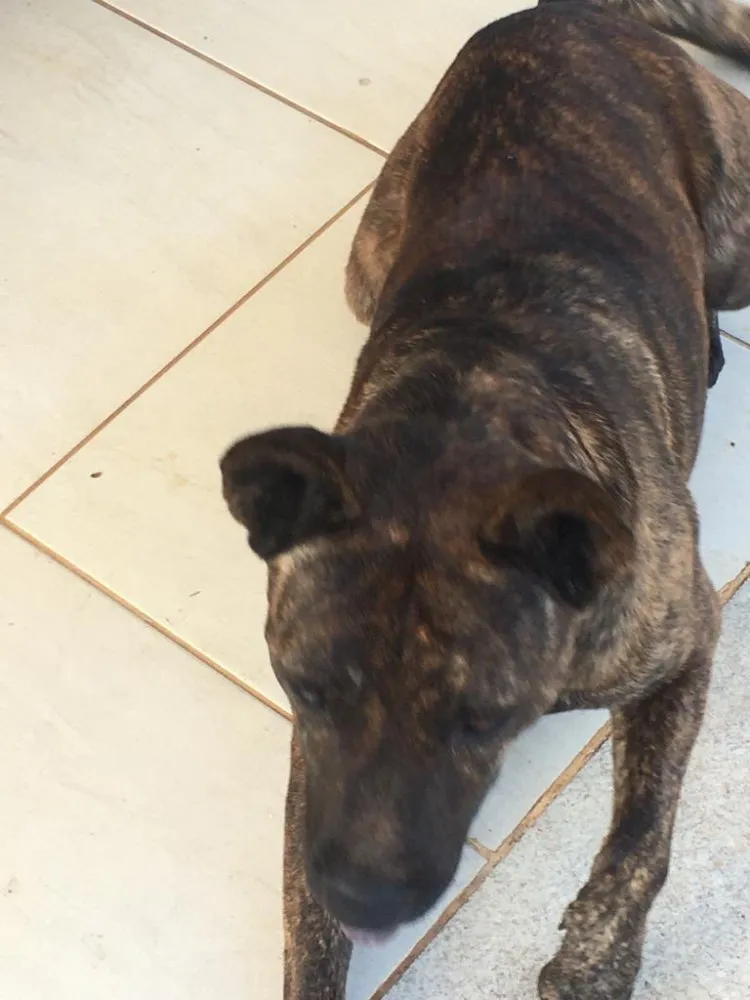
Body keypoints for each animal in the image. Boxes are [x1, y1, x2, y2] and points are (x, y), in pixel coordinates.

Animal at [220, 1, 750, 996]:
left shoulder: (687, 640)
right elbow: (306, 929)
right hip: (365, 260)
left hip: (742, 239)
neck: (457, 411)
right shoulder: (311, 765)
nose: (370, 902)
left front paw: (595, 959)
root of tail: (567, 10)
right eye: (305, 688)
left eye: (484, 719)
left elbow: (641, 838)